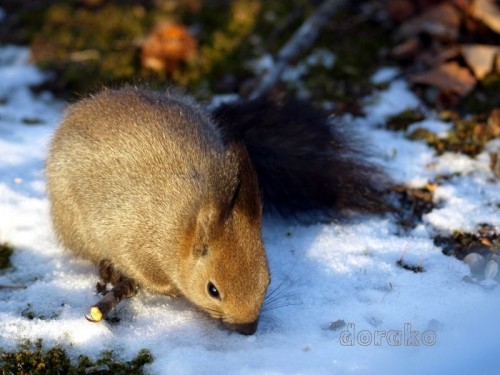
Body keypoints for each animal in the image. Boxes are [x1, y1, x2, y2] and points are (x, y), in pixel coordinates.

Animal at [46, 87, 386, 334]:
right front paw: (167, 290)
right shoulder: (130, 236)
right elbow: (143, 271)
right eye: (212, 291)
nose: (248, 329)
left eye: (268, 279)